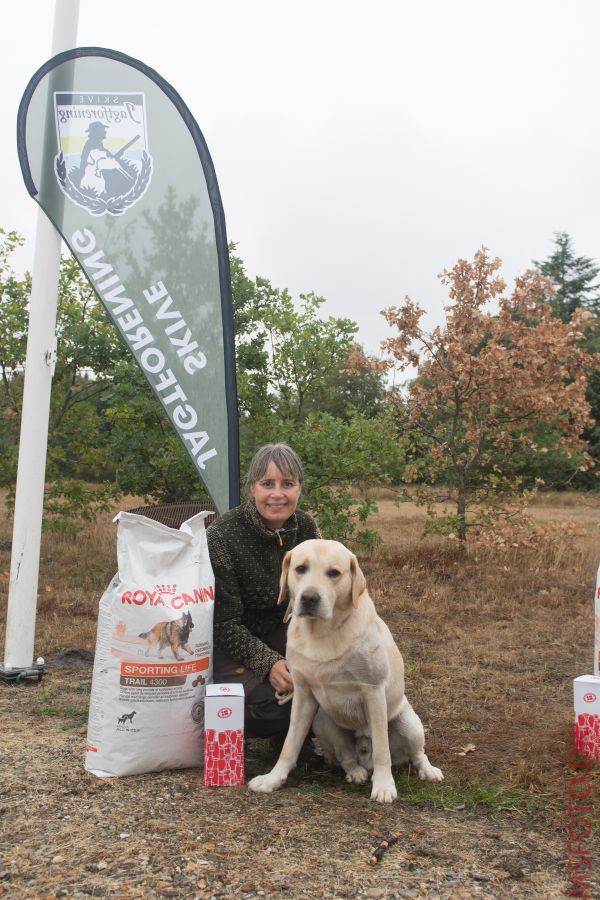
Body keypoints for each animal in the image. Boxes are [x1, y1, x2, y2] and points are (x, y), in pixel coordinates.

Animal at [246, 536, 442, 804]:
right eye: (300, 568)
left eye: (334, 573)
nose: (309, 598)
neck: (322, 633)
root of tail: (363, 753)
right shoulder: (303, 695)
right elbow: (289, 745)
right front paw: (273, 779)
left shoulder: (374, 692)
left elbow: (382, 750)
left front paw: (384, 786)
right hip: (322, 719)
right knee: (346, 756)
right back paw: (356, 771)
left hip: (408, 723)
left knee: (415, 753)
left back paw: (428, 771)